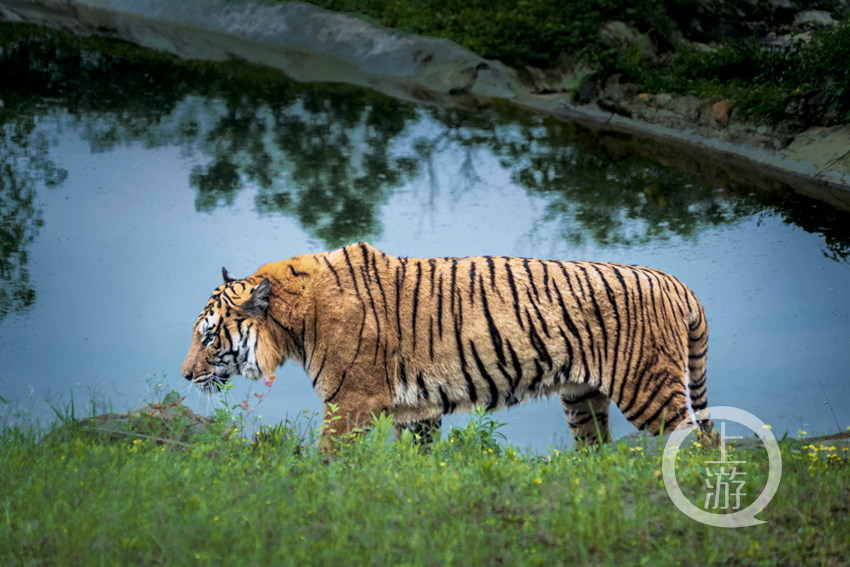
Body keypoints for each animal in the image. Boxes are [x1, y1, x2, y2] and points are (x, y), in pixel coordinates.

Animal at [182, 243, 720, 448]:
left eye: (208, 335)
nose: (185, 375)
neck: (293, 322)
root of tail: (676, 282)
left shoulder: (349, 403)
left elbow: (330, 458)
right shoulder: (417, 410)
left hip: (647, 389)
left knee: (694, 443)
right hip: (581, 399)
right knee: (603, 449)